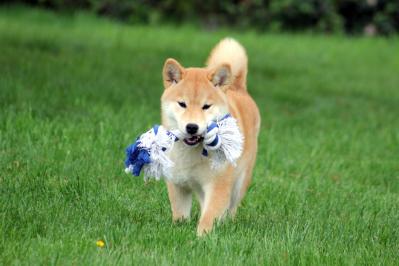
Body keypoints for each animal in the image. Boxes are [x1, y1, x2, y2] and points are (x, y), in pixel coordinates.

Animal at [161, 37, 260, 235]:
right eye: (182, 104)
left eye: (206, 106)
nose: (192, 127)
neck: (190, 154)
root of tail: (238, 88)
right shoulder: (178, 184)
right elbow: (180, 214)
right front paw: (179, 228)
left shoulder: (218, 185)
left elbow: (209, 217)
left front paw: (201, 236)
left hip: (240, 181)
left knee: (231, 208)